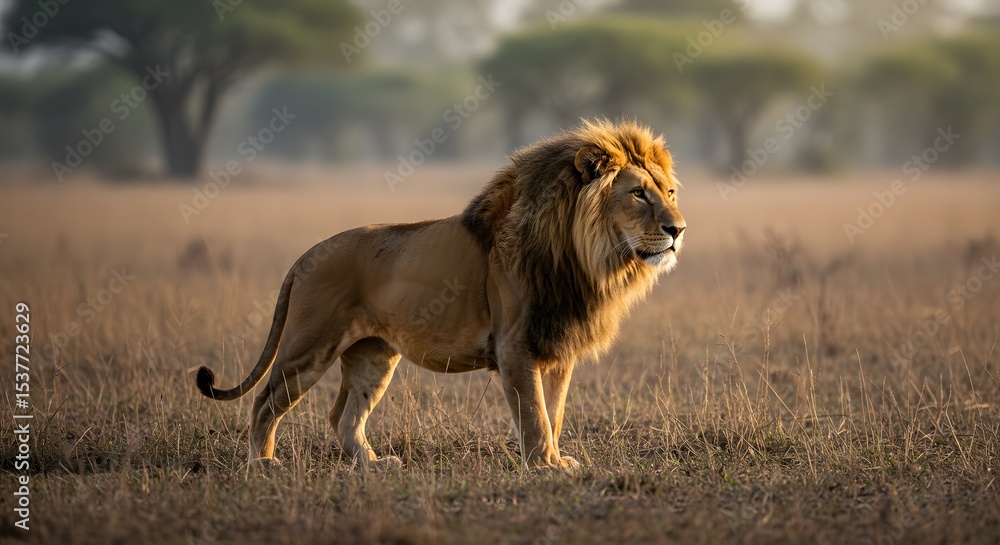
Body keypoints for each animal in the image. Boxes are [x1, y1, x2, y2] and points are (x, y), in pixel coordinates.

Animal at [195, 119, 686, 470]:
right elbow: (534, 415)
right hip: (309, 346)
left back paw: (374, 464)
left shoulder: (557, 344)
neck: (584, 259)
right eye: (638, 194)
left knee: (343, 415)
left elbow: (555, 411)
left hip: (373, 355)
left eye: (669, 192)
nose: (678, 230)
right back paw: (264, 464)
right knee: (264, 401)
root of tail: (305, 256)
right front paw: (545, 466)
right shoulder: (515, 344)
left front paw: (556, 459)